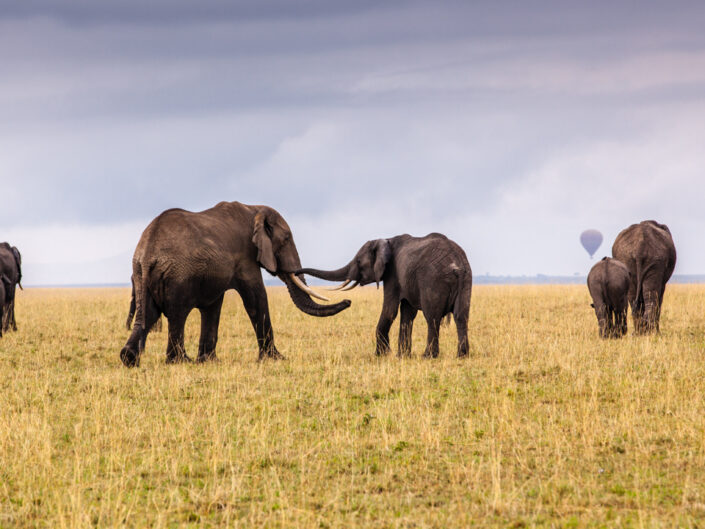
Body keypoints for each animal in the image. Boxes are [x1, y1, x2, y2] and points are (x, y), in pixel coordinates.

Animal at [121, 202, 352, 368]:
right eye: (286, 239)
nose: (348, 301)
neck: (254, 209)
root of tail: (147, 252)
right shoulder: (245, 257)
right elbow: (256, 298)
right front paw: (276, 359)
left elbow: (213, 306)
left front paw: (209, 361)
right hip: (178, 276)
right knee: (178, 314)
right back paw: (179, 361)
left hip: (141, 275)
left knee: (148, 313)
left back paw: (129, 358)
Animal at [296, 233, 472, 356]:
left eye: (358, 262)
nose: (296, 272)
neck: (386, 240)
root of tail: (456, 265)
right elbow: (407, 313)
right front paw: (402, 356)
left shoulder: (392, 274)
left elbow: (390, 310)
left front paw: (382, 355)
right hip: (466, 280)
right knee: (461, 316)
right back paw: (462, 355)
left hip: (433, 280)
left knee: (432, 318)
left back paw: (428, 356)